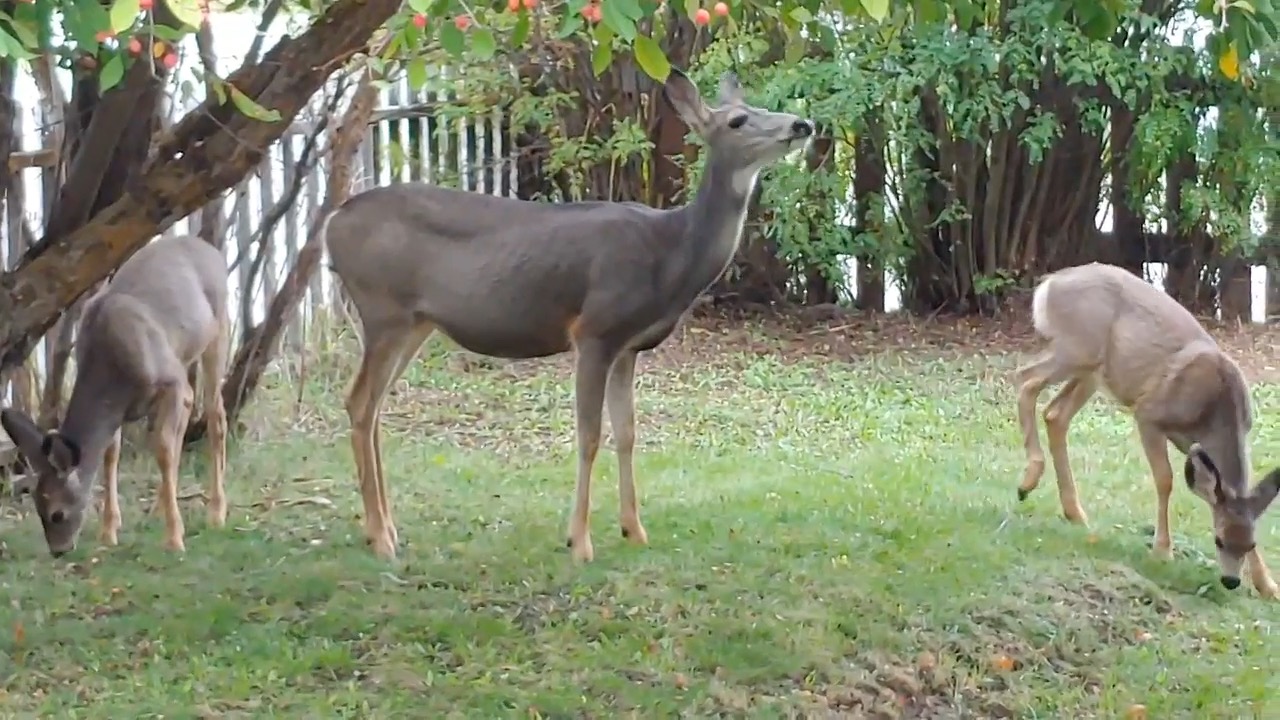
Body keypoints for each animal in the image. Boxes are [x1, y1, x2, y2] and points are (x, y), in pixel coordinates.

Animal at [1, 235, 230, 556]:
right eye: (37, 507)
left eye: (57, 513)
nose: (59, 550)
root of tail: (209, 248)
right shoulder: (125, 406)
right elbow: (112, 454)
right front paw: (109, 531)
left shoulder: (169, 379)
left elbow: (162, 448)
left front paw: (174, 539)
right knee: (186, 417)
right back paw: (161, 507)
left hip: (218, 330)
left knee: (215, 415)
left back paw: (216, 512)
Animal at [325, 67, 814, 561]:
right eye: (737, 120)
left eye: (761, 109)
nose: (802, 124)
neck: (671, 252)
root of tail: (332, 222)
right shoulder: (594, 330)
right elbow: (590, 435)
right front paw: (579, 541)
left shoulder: (629, 346)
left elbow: (628, 431)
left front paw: (634, 529)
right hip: (383, 309)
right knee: (361, 401)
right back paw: (381, 536)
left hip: (414, 322)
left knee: (371, 404)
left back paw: (384, 527)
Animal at [1013, 260, 1274, 597]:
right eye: (1217, 539)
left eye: (1249, 543)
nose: (1231, 581)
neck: (1214, 411)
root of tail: (1049, 284)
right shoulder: (1149, 414)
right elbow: (1165, 479)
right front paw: (1162, 551)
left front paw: (1268, 585)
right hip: (1076, 349)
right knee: (1026, 379)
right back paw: (1028, 480)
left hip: (1093, 371)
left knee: (1055, 414)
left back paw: (1075, 513)